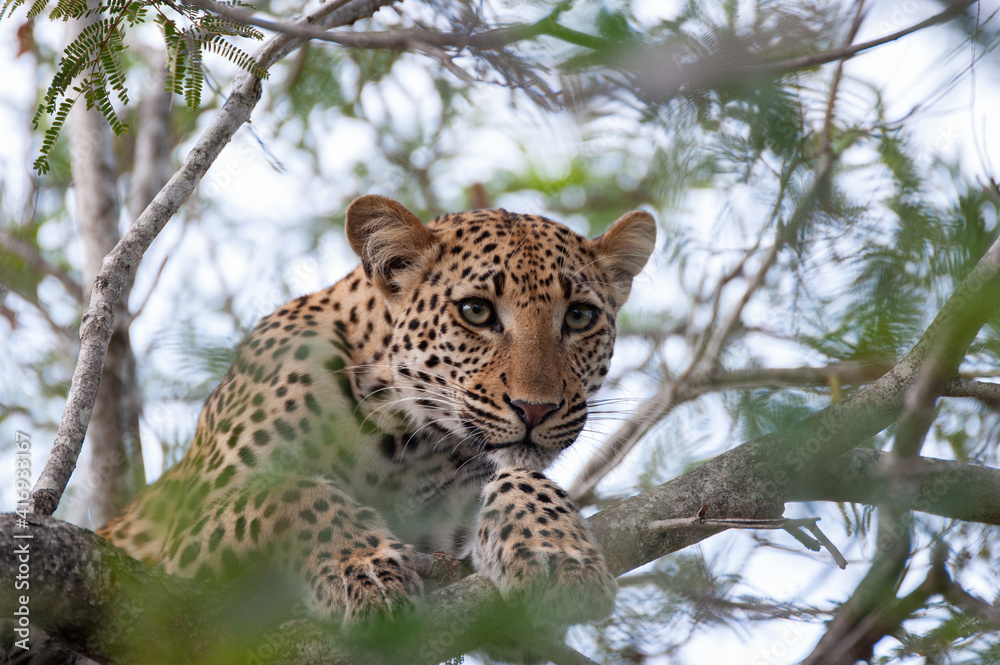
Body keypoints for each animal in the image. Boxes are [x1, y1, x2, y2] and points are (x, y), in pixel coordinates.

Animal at [98, 195, 656, 635]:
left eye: (580, 317)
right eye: (476, 311)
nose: (535, 408)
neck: (401, 441)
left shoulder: (444, 533)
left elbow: (519, 477)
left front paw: (555, 549)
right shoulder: (179, 546)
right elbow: (290, 491)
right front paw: (365, 570)